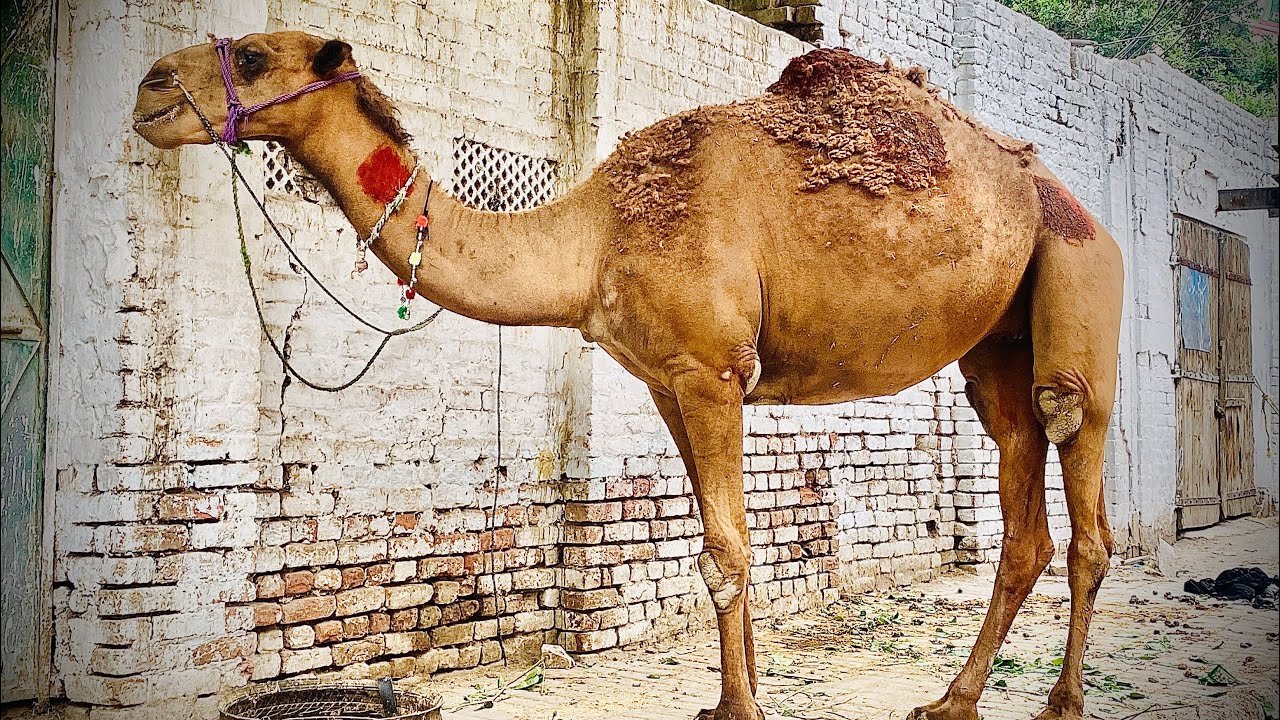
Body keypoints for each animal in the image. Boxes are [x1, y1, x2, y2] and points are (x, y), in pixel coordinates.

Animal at [132, 32, 1123, 720]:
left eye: (253, 54)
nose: (149, 88)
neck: (594, 236)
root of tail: (1069, 199)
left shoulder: (713, 367)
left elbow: (727, 550)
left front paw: (740, 709)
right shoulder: (667, 378)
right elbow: (717, 540)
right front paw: (735, 697)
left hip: (1080, 284)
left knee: (1075, 454)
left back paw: (1062, 701)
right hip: (993, 346)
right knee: (1021, 489)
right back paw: (953, 699)